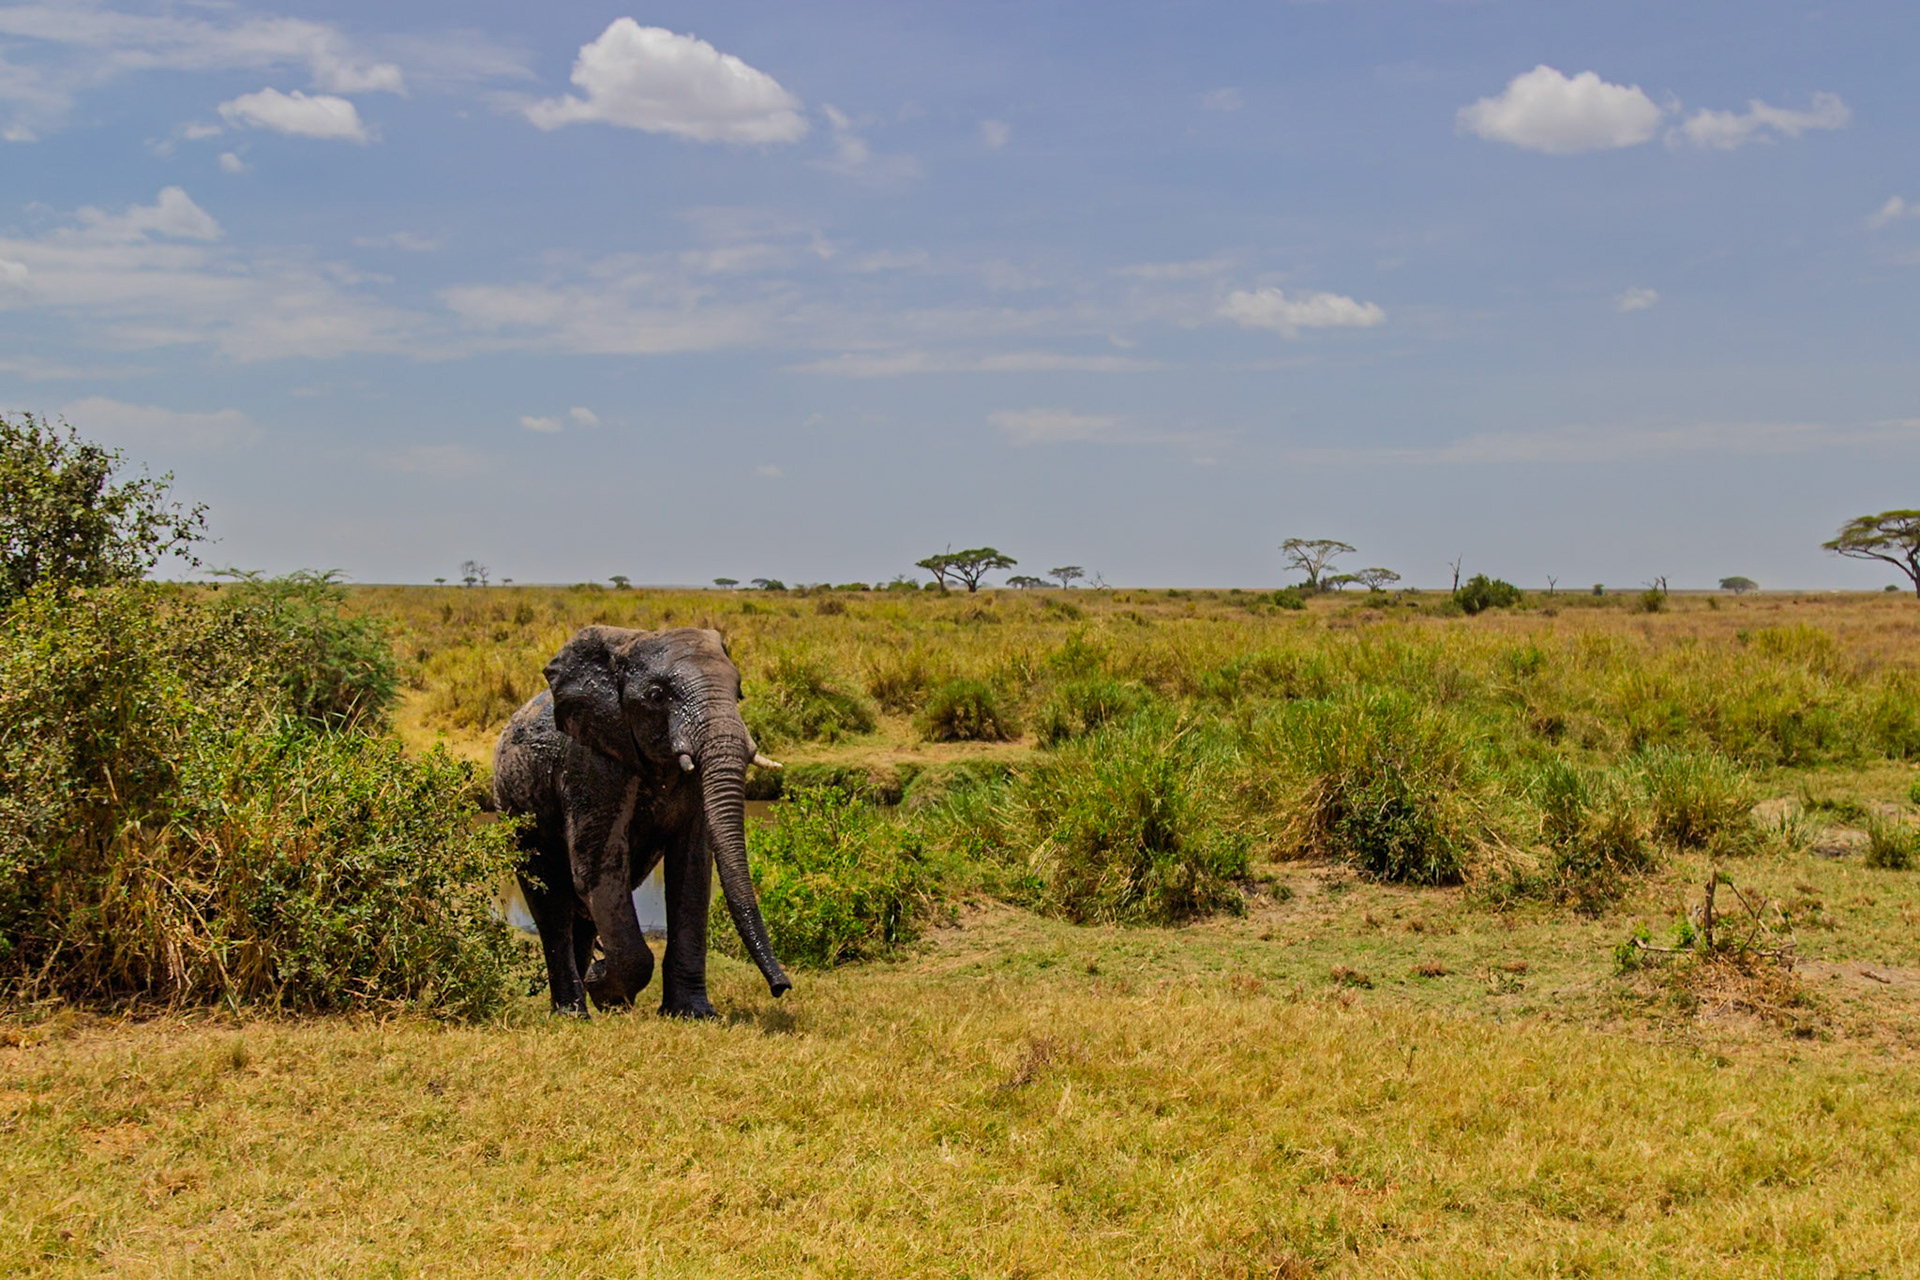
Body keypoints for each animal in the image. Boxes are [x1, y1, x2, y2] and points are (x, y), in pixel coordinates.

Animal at [492, 625, 790, 1018]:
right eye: (656, 696)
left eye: (739, 693)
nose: (781, 987)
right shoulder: (590, 763)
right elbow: (598, 870)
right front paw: (605, 989)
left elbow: (692, 870)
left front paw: (692, 1014)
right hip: (513, 806)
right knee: (552, 904)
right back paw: (573, 1011)